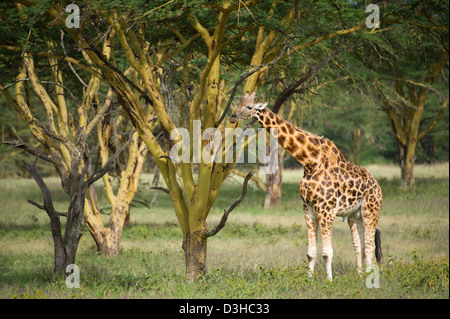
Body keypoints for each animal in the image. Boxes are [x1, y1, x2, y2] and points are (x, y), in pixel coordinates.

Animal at [230, 92, 382, 280]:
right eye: (238, 102)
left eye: (250, 106)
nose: (232, 116)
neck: (310, 162)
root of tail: (378, 186)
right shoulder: (308, 208)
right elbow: (311, 253)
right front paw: (309, 279)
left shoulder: (326, 210)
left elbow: (327, 252)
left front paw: (329, 280)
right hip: (355, 215)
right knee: (359, 245)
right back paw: (360, 276)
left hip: (371, 211)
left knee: (370, 246)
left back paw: (368, 278)